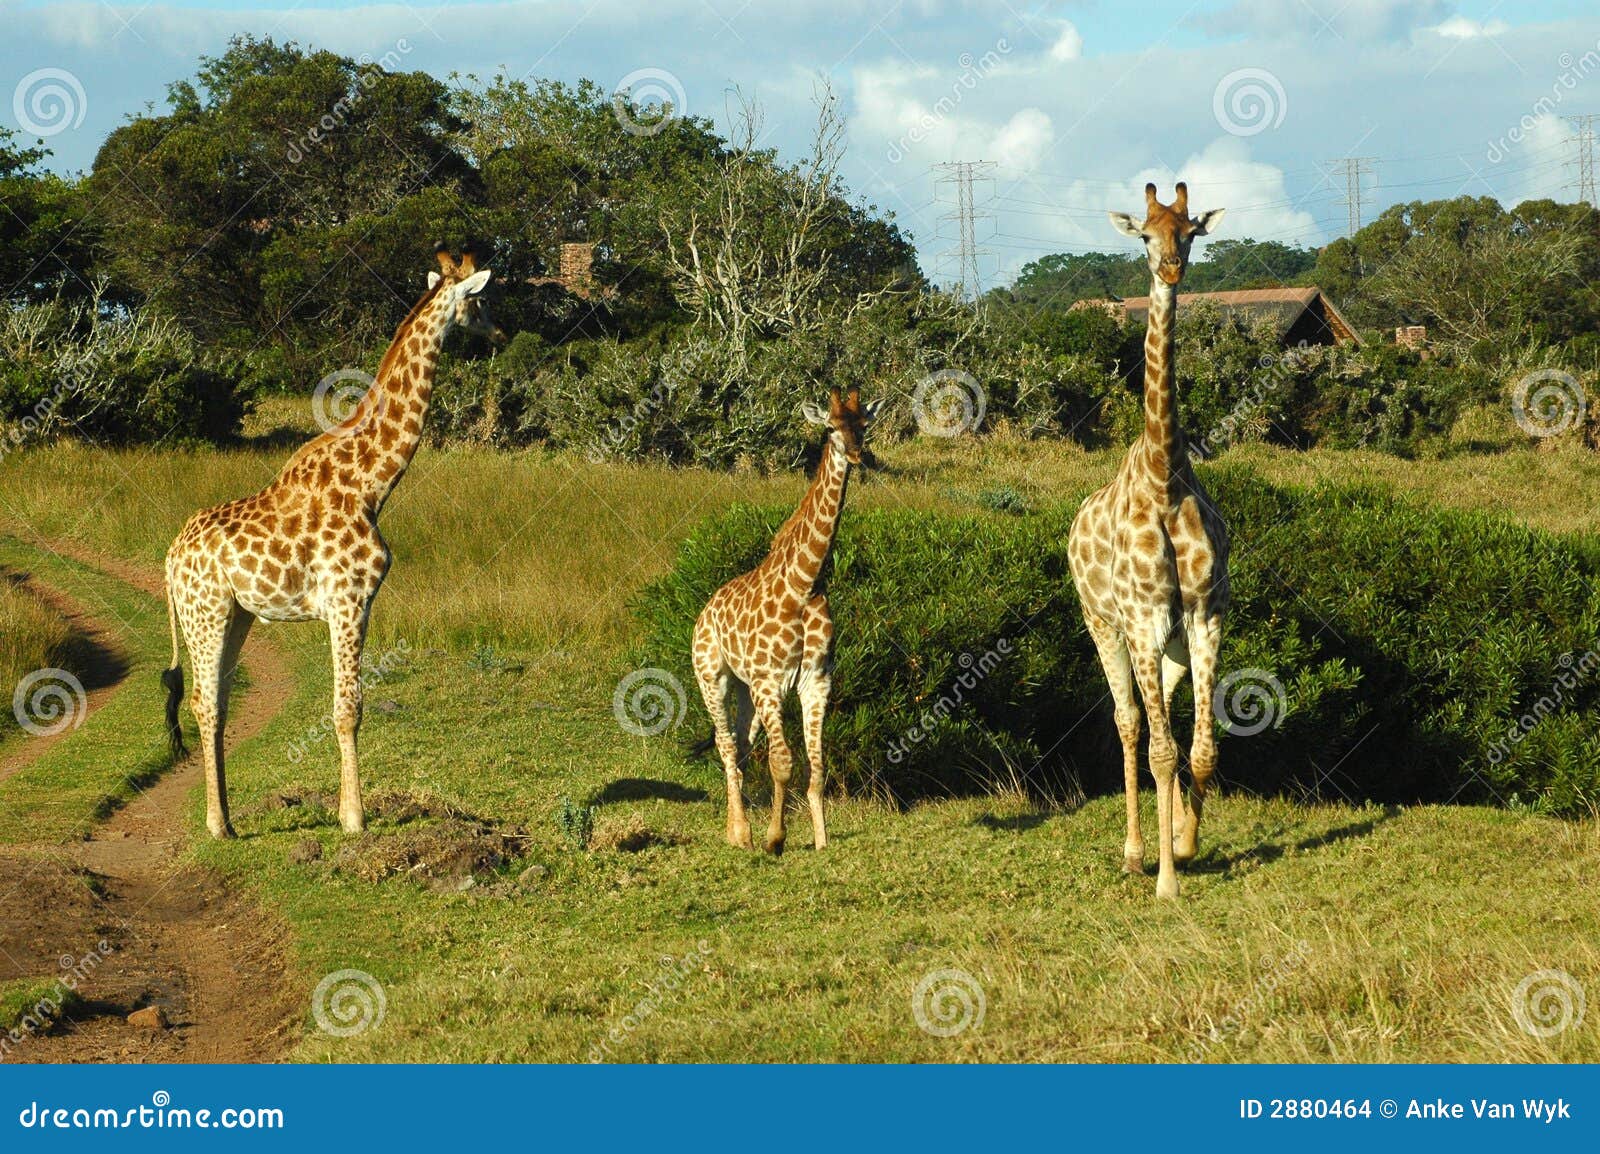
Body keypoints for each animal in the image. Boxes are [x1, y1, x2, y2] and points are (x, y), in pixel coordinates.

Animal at [162, 244, 496, 838]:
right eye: (479, 301)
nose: (500, 332)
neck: (372, 484)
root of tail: (169, 556)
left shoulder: (347, 603)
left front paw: (348, 812)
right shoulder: (349, 600)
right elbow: (348, 710)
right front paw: (354, 819)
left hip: (235, 614)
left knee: (214, 701)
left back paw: (228, 820)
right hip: (206, 612)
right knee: (204, 701)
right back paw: (217, 824)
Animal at [694, 384, 883, 845]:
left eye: (864, 424)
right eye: (830, 427)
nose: (856, 454)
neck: (805, 582)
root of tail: (704, 611)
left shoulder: (816, 680)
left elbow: (817, 767)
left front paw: (820, 841)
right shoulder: (772, 682)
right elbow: (782, 763)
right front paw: (775, 839)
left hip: (745, 689)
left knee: (741, 745)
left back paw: (735, 832)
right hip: (713, 677)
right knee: (726, 744)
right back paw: (743, 831)